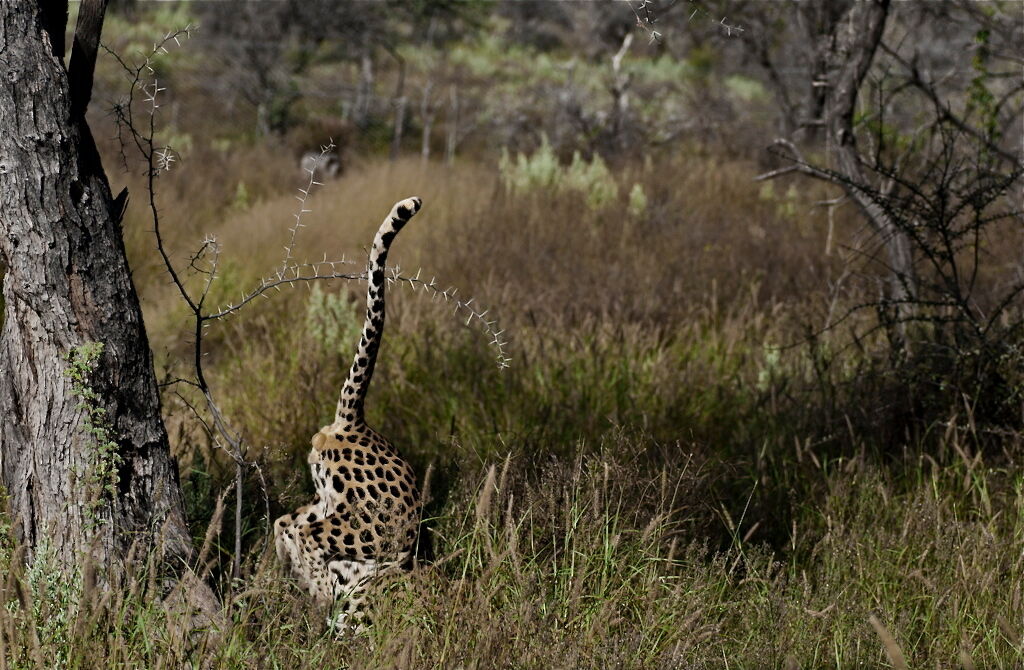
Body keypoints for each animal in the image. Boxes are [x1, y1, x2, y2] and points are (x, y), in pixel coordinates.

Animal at [274, 196, 423, 631]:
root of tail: (355, 425)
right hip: (368, 525)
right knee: (307, 535)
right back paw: (320, 592)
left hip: (326, 502)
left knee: (284, 522)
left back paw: (299, 580)